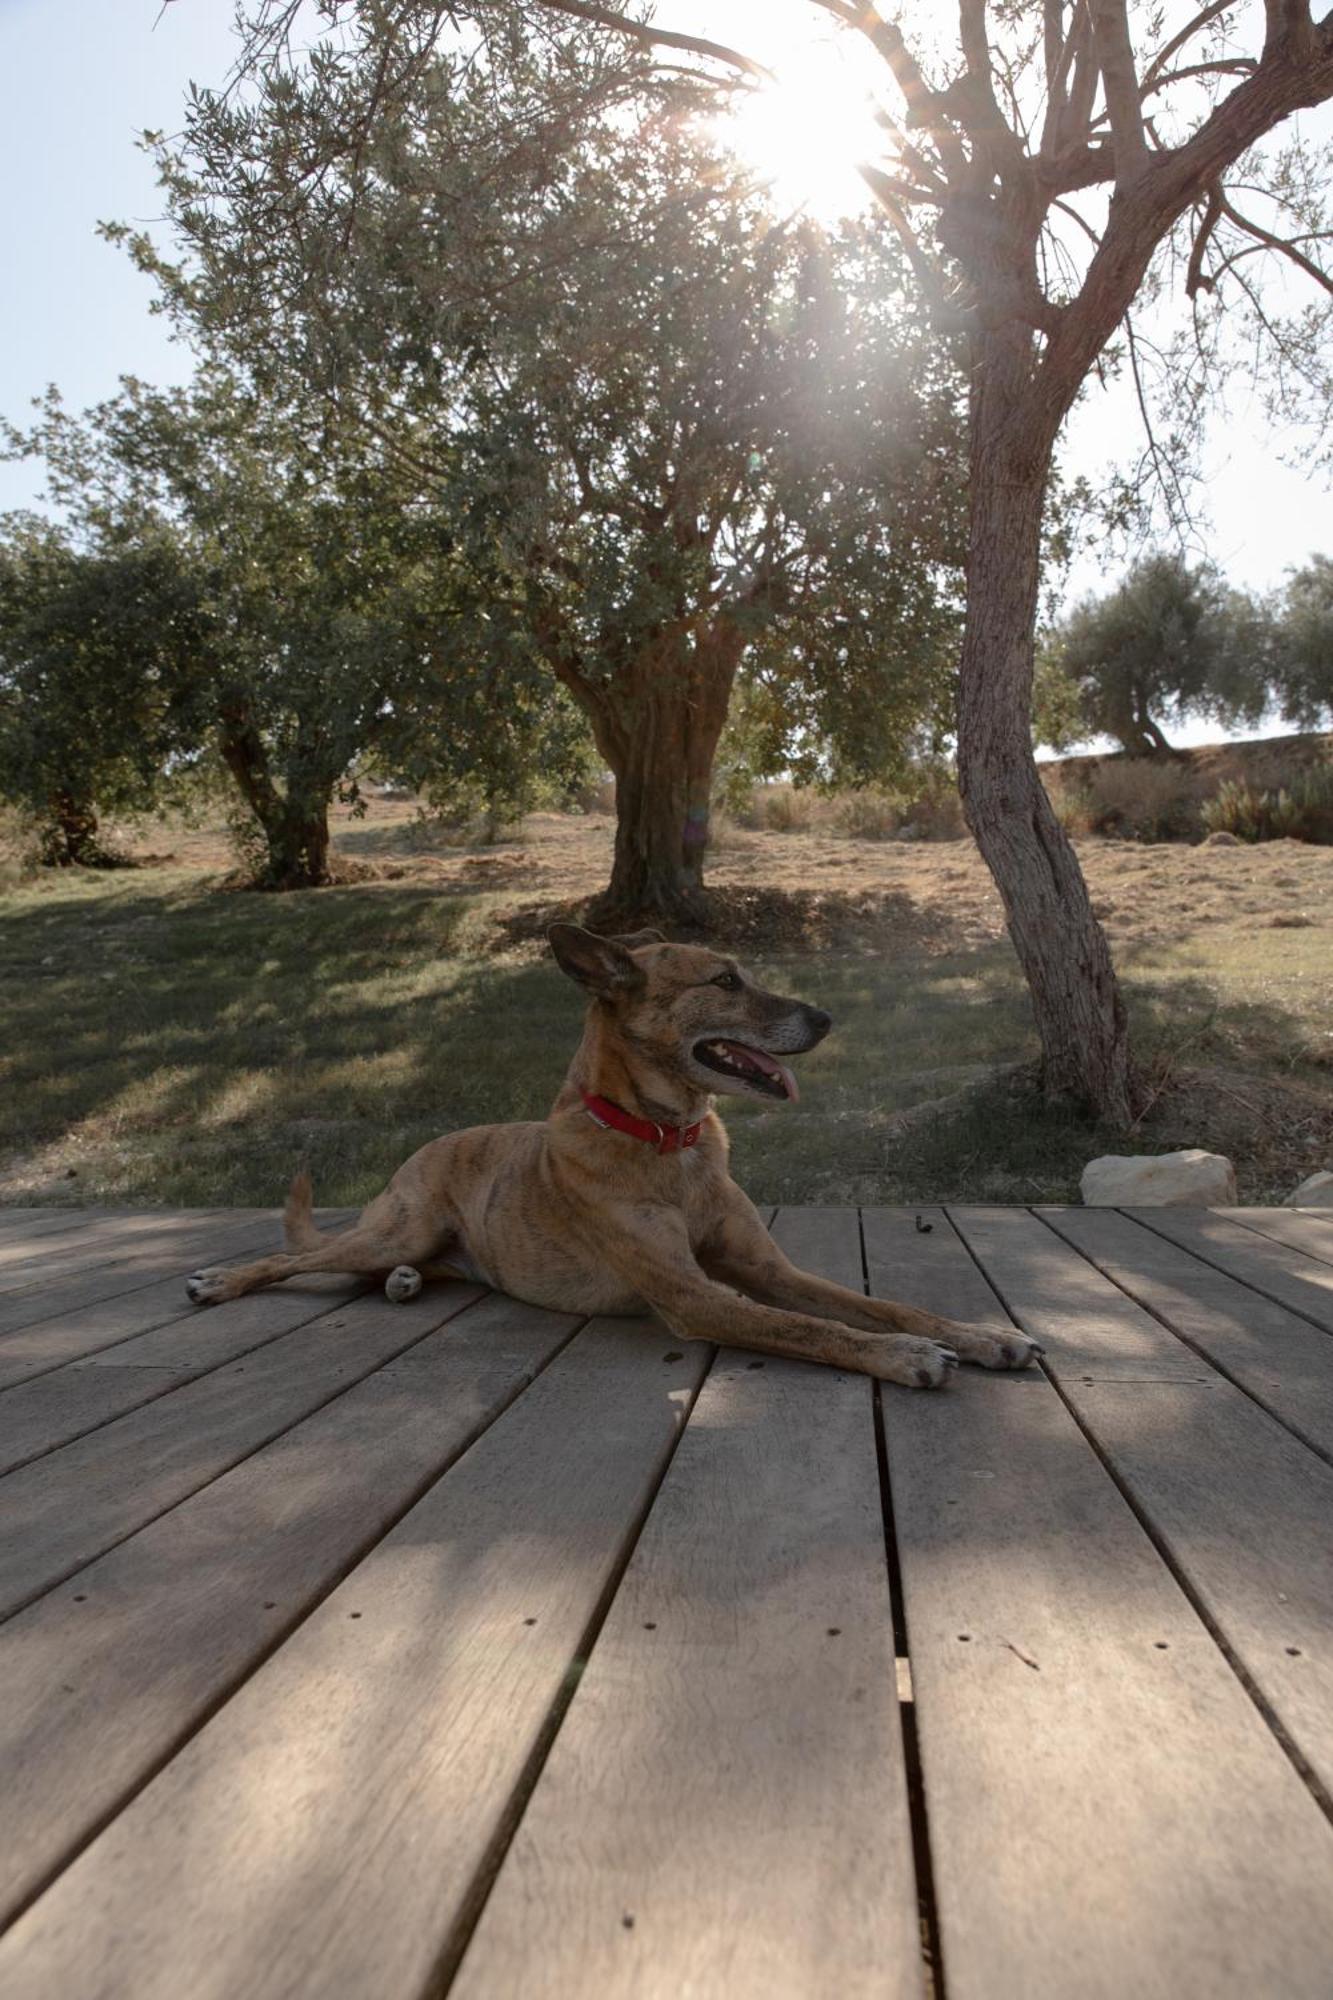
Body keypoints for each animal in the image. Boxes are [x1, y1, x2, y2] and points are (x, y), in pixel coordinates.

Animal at [187, 924, 1040, 1384]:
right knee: (295, 1259)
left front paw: (983, 1335)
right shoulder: (697, 1295)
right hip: (401, 1223)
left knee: (384, 1267)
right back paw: (223, 1280)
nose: (828, 1018)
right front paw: (902, 1355)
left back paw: (401, 1283)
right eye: (724, 981)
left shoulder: (767, 1269)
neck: (669, 1141)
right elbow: (815, 1331)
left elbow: (879, 1303)